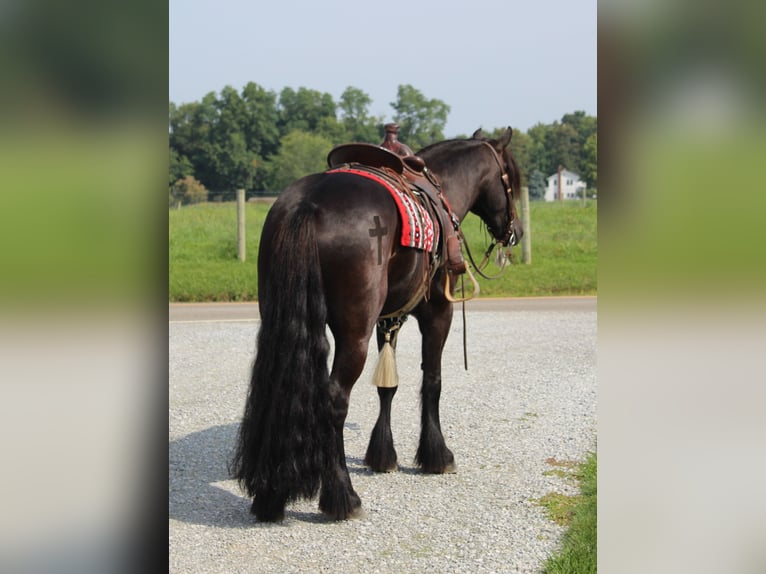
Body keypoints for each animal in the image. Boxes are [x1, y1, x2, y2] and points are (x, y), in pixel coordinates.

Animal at [231, 128, 524, 524]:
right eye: (512, 180)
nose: (515, 231)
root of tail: (307, 205)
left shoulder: (388, 318)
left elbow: (388, 386)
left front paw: (383, 454)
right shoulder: (438, 313)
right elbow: (432, 382)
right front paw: (436, 455)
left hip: (282, 318)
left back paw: (271, 496)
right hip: (354, 331)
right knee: (335, 400)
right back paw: (342, 496)